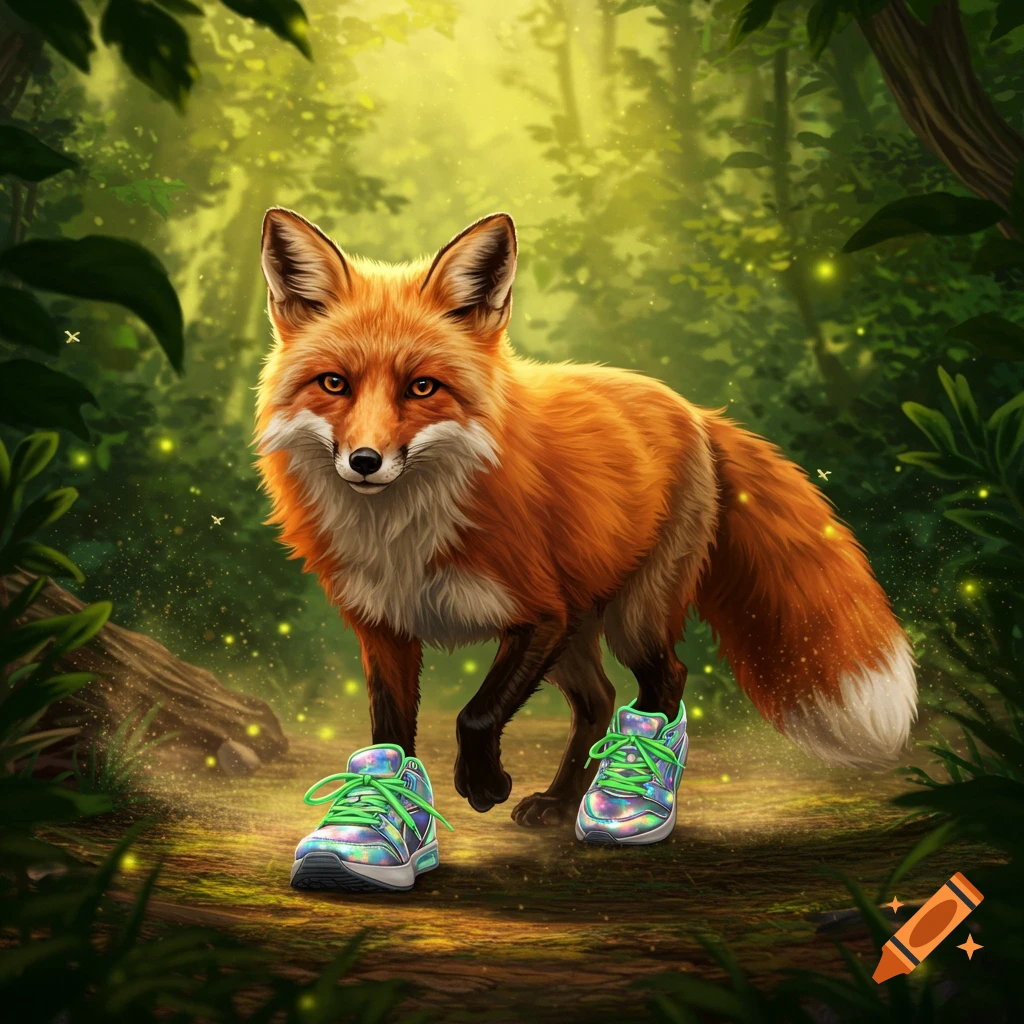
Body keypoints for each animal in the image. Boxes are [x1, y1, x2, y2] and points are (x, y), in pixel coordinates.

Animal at [254, 208, 917, 843]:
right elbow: (391, 737)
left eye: (422, 387)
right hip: (578, 629)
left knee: (665, 679)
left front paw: (483, 783)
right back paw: (559, 802)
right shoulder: (386, 629)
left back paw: (627, 797)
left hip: (632, 618)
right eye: (334, 383)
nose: (364, 461)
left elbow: (475, 713)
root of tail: (694, 409)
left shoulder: (538, 613)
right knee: (600, 699)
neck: (404, 536)